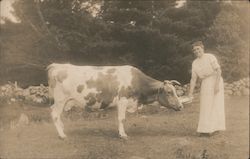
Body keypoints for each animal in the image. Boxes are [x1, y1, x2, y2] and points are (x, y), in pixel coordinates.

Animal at [47, 63, 184, 139]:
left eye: (175, 90)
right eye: (169, 92)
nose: (181, 106)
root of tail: (57, 65)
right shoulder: (123, 100)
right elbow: (122, 119)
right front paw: (122, 135)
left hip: (63, 101)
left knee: (57, 114)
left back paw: (62, 129)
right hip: (60, 99)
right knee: (55, 114)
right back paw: (62, 135)